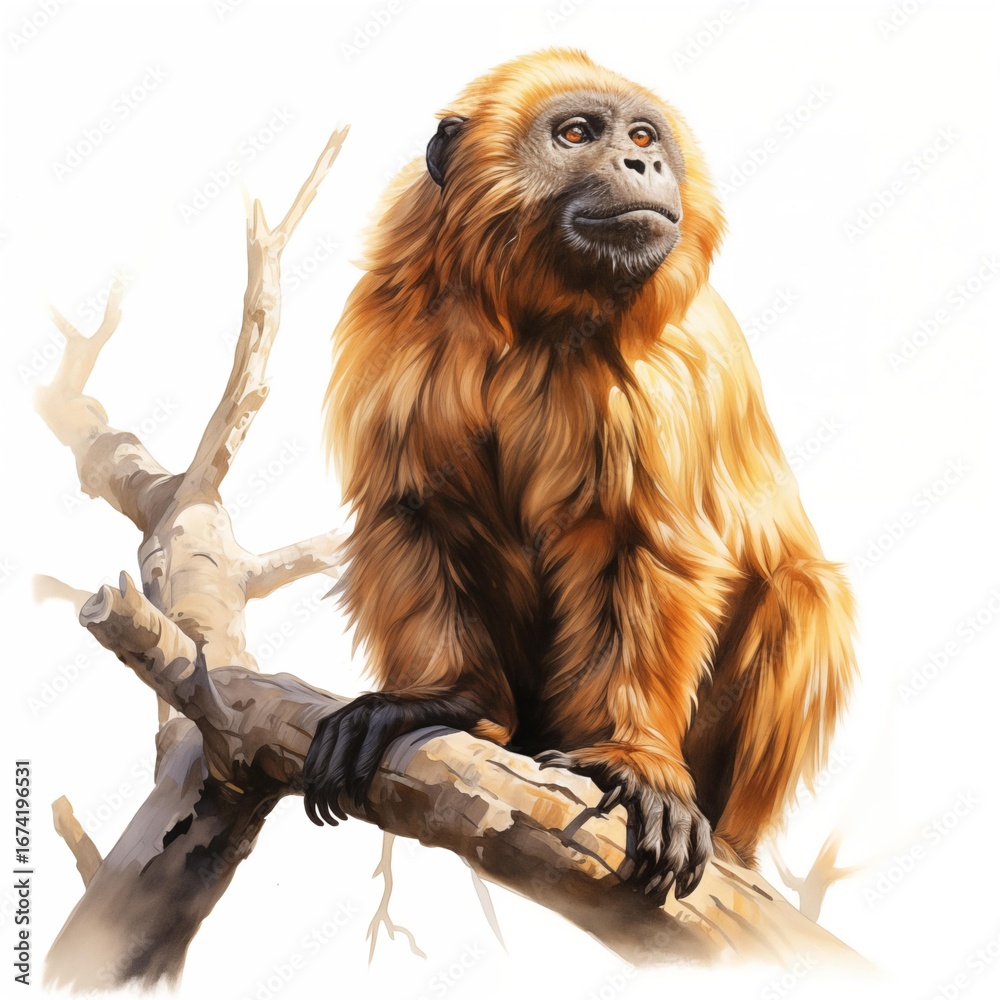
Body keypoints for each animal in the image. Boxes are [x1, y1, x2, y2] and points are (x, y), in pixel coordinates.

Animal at [302, 48, 855, 903]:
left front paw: (636, 761)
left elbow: (641, 545)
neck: (535, 320)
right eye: (576, 134)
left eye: (641, 135)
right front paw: (441, 699)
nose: (644, 163)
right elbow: (418, 510)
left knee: (806, 589)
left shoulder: (662, 368)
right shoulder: (398, 327)